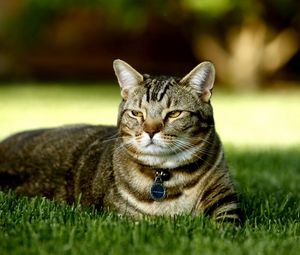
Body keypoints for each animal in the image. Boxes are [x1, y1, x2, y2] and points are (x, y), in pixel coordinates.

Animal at [0, 59, 241, 223]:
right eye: (136, 113)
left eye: (174, 114)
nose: (150, 130)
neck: (165, 175)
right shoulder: (124, 217)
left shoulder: (225, 200)